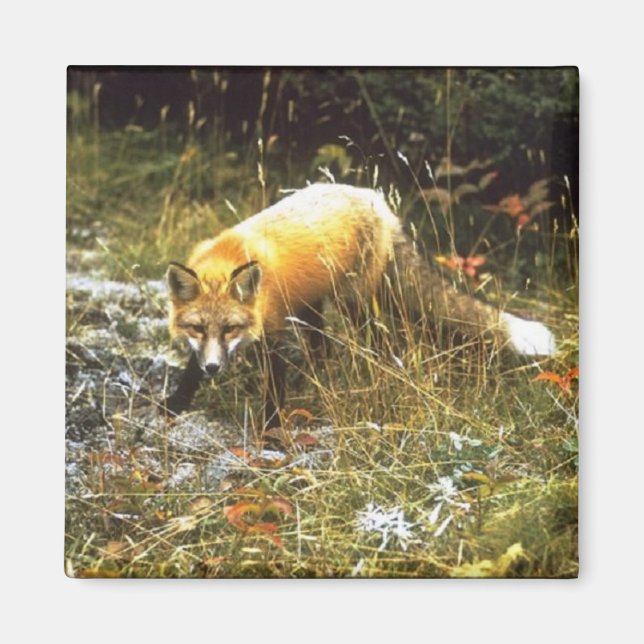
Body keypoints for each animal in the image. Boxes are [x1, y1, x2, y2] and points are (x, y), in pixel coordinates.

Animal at [165, 183, 555, 428]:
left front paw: (271, 429)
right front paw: (175, 405)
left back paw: (376, 377)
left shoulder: (274, 331)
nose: (215, 368)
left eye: (231, 328)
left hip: (354, 303)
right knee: (323, 348)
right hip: (313, 306)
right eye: (196, 328)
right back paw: (319, 375)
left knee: (378, 342)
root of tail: (376, 200)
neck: (229, 255)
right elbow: (190, 371)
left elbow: (274, 390)